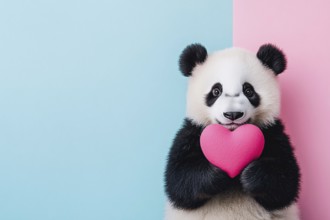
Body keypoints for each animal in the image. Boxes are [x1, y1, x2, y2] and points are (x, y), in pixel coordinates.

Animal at [164, 43, 300, 220]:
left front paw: (249, 176)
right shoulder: (192, 132)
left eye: (249, 91)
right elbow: (179, 180)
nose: (233, 114)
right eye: (216, 91)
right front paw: (216, 174)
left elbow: (285, 182)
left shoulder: (273, 132)